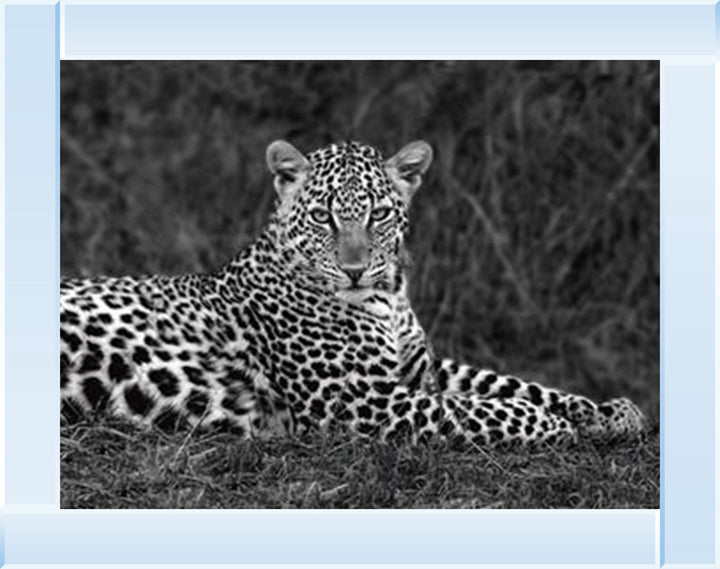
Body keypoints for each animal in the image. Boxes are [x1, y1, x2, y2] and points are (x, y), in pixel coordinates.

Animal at [61, 139, 647, 448]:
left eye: (379, 214)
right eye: (323, 216)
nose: (355, 270)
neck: (389, 297)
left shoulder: (421, 369)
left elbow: (506, 383)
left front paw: (607, 411)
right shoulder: (358, 400)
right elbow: (478, 410)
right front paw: (556, 424)